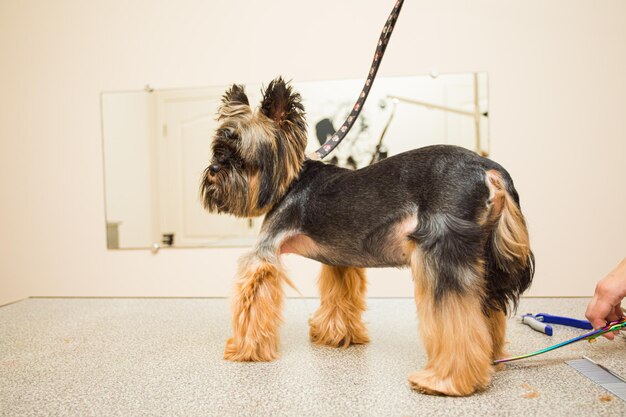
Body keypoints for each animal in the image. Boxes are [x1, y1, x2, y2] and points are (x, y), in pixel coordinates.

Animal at [199, 77, 532, 394]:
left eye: (239, 153)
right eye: (218, 149)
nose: (214, 169)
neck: (290, 180)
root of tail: (489, 170)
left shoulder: (264, 253)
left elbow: (252, 301)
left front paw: (244, 350)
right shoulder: (339, 258)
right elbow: (338, 297)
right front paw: (336, 336)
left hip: (441, 249)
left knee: (455, 317)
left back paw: (445, 381)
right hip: (483, 255)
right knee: (486, 310)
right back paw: (489, 360)